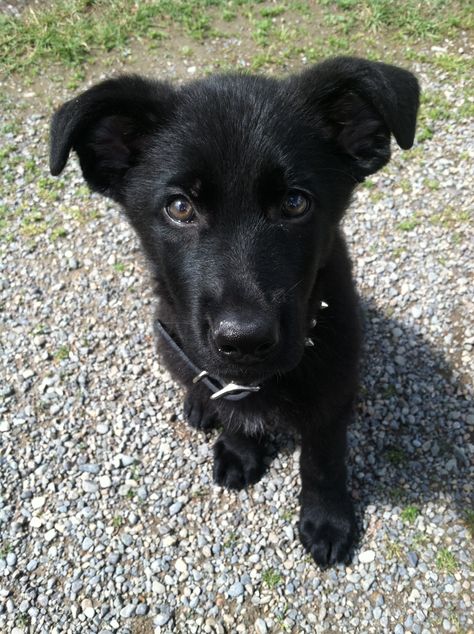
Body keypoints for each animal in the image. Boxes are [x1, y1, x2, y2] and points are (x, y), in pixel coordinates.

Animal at [49, 56, 418, 564]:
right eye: (180, 207)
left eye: (295, 202)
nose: (244, 340)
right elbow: (232, 409)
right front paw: (240, 448)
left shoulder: (331, 394)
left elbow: (322, 459)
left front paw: (327, 519)